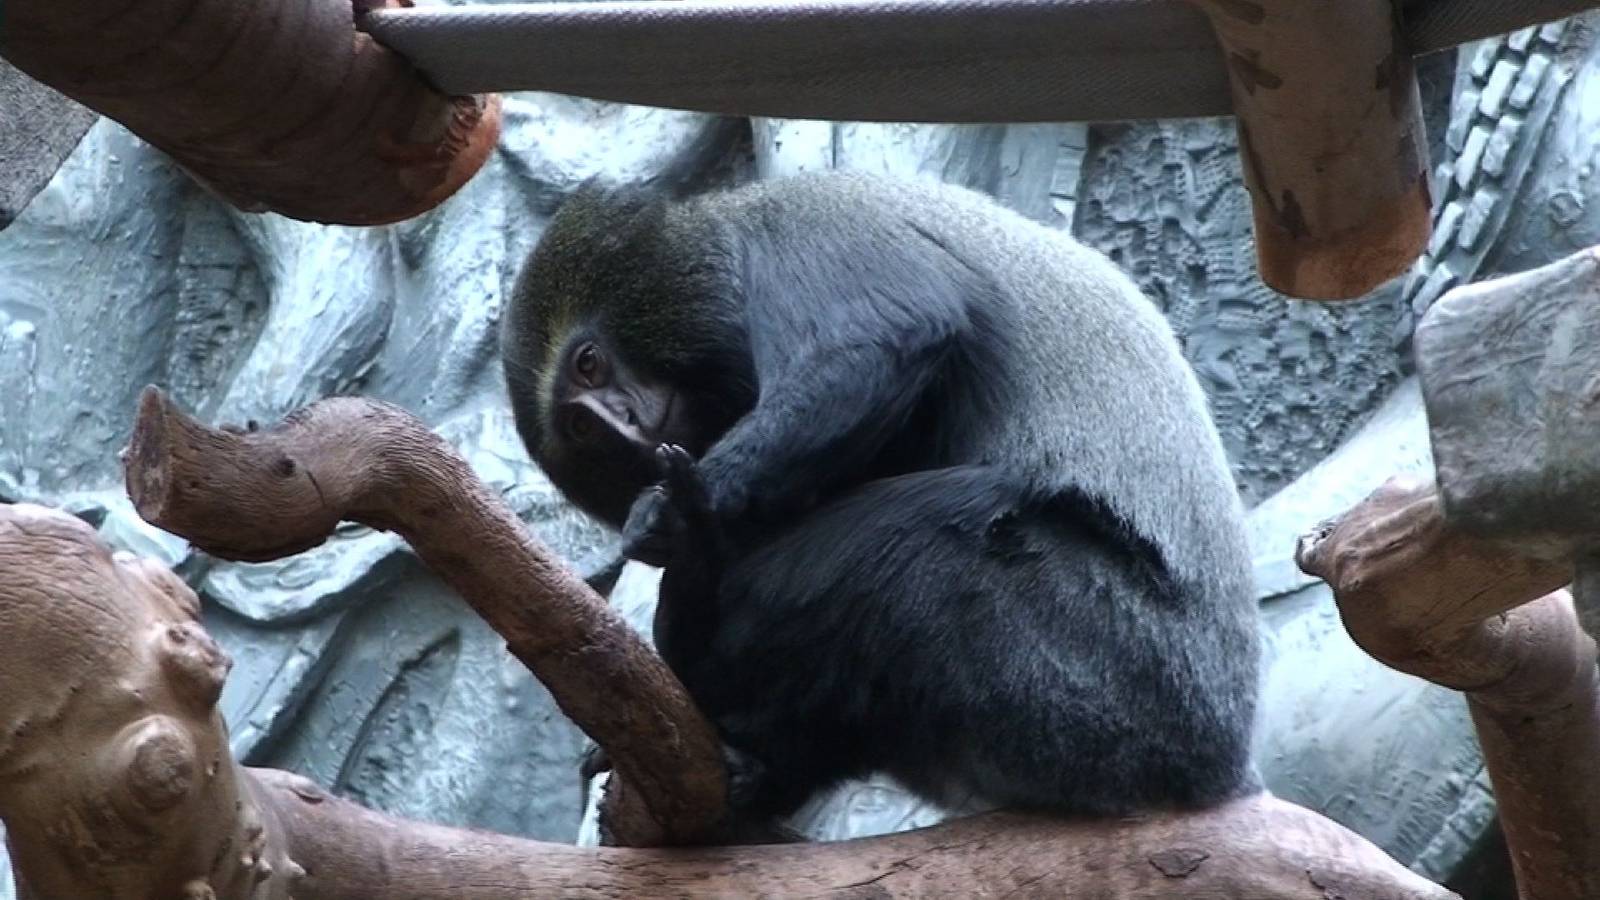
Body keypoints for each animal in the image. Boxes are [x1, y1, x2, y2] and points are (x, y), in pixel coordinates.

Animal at [502, 170, 1262, 834]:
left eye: (590, 364)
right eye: (581, 428)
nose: (619, 423)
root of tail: (1219, 761)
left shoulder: (804, 233)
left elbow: (885, 339)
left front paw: (679, 517)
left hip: (1109, 667)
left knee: (900, 546)